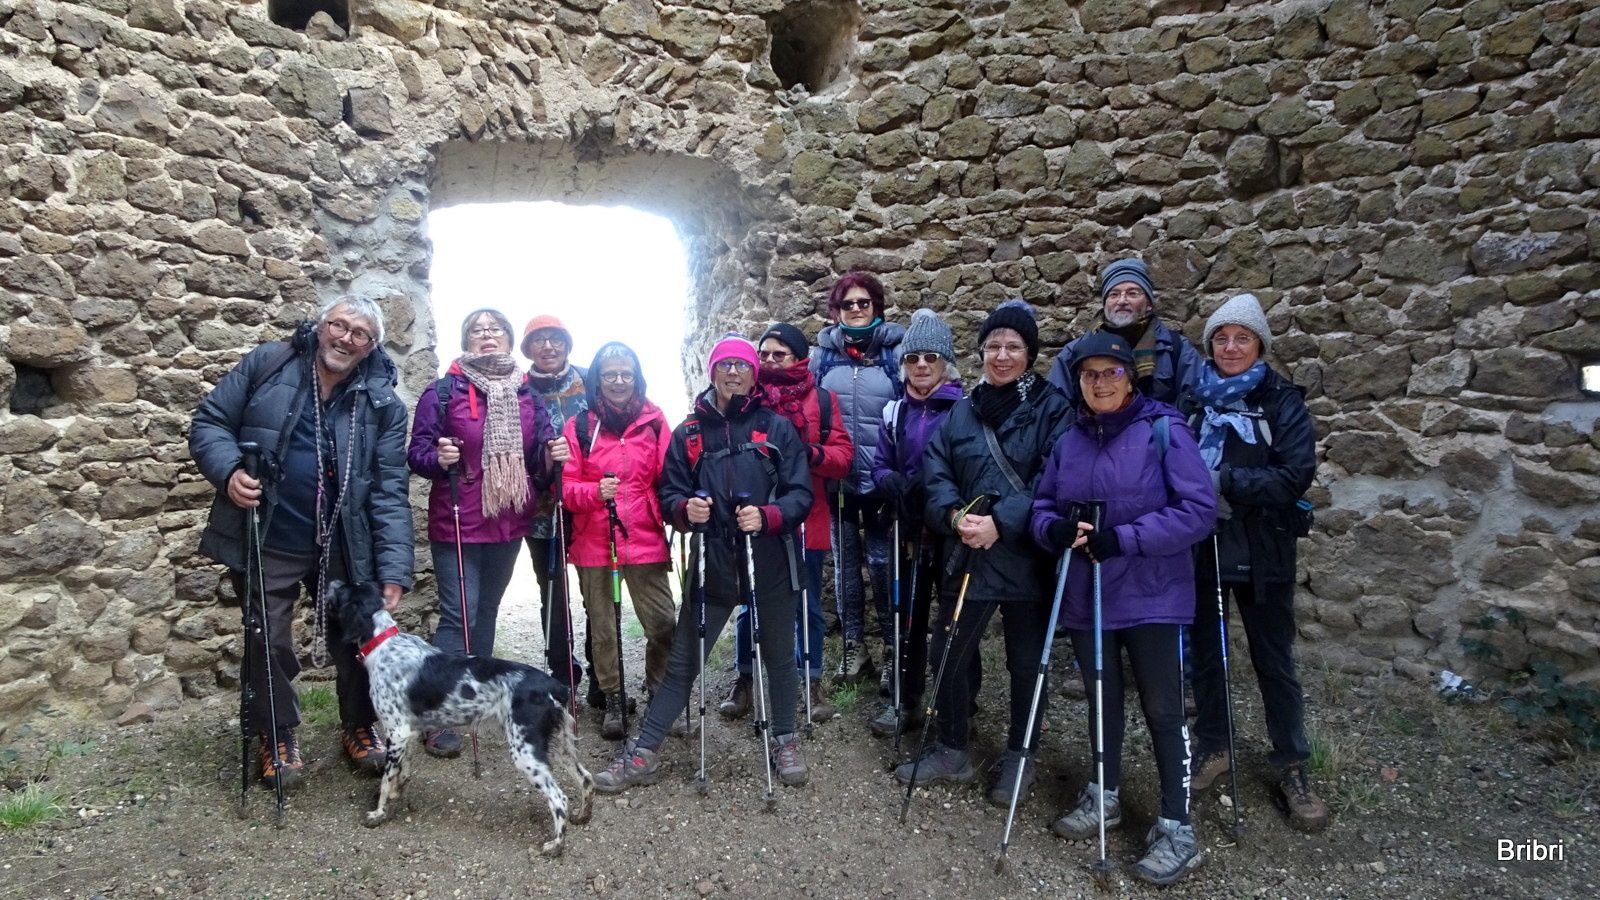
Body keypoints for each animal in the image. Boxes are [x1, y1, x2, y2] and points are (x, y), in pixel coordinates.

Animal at [331, 581, 593, 856]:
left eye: (343, 590)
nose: (333, 582)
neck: (384, 645)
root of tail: (555, 687)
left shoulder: (396, 732)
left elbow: (386, 779)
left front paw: (378, 813)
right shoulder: (407, 735)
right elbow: (402, 772)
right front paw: (396, 795)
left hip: (526, 752)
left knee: (559, 798)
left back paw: (556, 844)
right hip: (559, 746)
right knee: (586, 778)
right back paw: (582, 815)